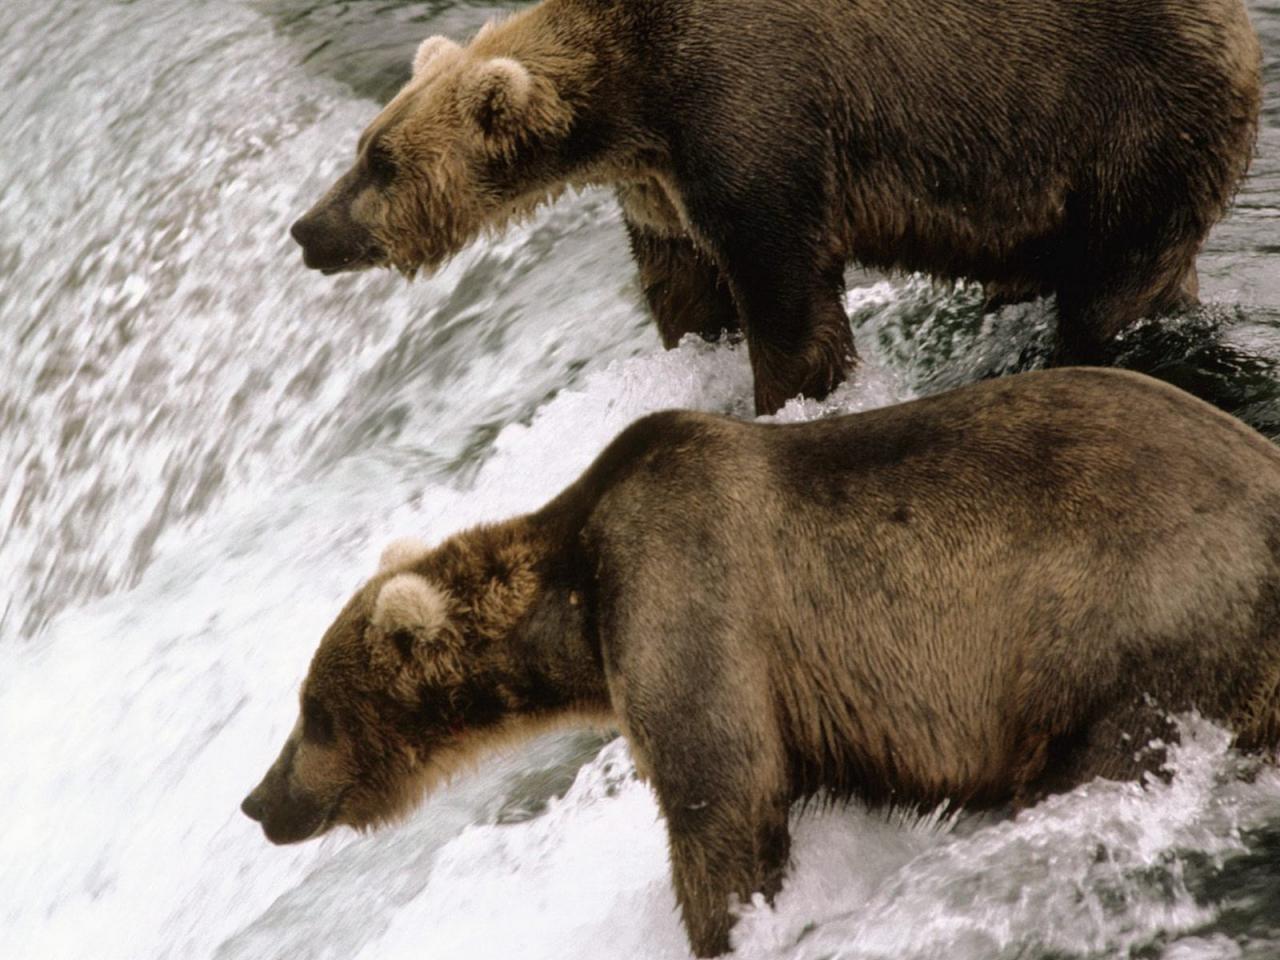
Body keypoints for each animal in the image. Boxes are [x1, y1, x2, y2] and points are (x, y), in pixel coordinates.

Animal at [244, 366, 1280, 957]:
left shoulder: (688, 596)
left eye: (313, 711)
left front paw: (723, 927)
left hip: (1139, 627)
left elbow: (722, 801)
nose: (259, 800)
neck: (576, 609)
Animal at [288, 0, 1259, 414]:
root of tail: (1236, 22)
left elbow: (785, 292)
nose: (305, 230)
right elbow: (685, 291)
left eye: (381, 161)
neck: (632, 102)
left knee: (1116, 285)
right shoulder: (659, 188)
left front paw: (788, 397)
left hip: (1126, 121)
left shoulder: (753, 119)